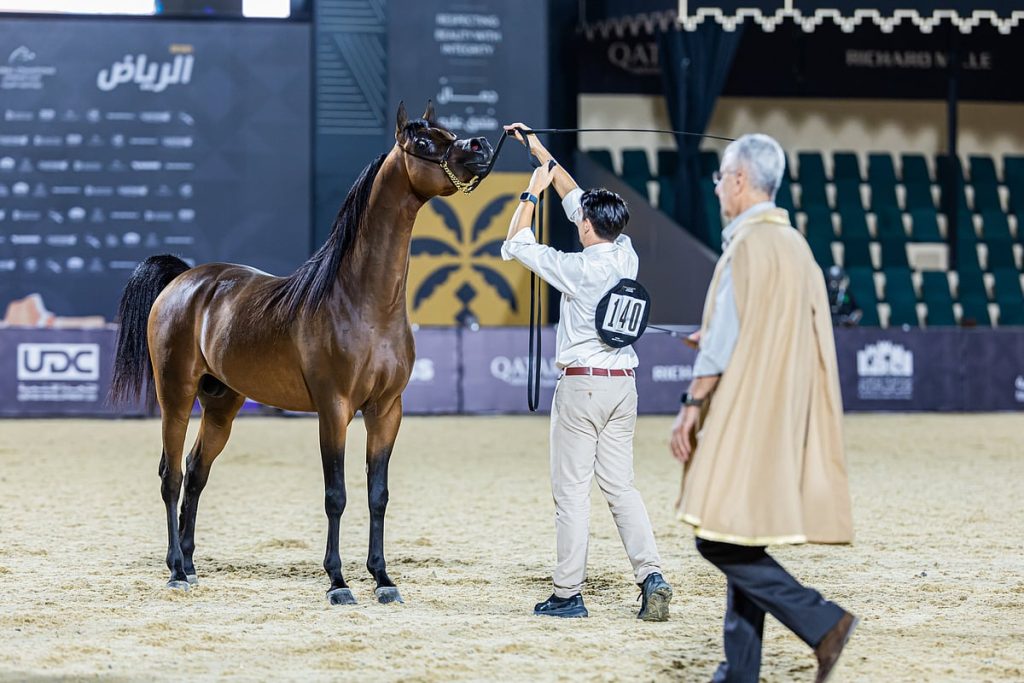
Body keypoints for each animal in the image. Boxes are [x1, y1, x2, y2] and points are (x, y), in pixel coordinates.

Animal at [110, 101, 494, 605]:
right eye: (424, 141)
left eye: (448, 131)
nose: (481, 146)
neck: (363, 302)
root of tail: (183, 280)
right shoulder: (334, 409)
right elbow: (337, 495)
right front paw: (338, 583)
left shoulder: (387, 409)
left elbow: (378, 495)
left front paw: (383, 579)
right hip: (175, 396)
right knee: (170, 475)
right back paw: (174, 569)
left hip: (221, 405)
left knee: (195, 472)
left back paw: (191, 566)